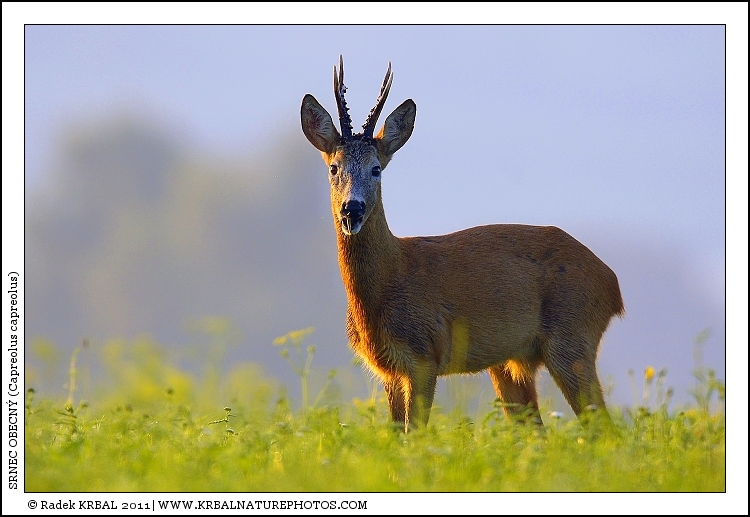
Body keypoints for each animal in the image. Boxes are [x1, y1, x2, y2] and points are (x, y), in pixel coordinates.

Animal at [300, 56, 624, 432]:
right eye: (333, 167)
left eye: (376, 168)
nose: (352, 209)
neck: (386, 284)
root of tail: (613, 285)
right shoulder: (388, 370)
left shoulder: (425, 355)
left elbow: (416, 434)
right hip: (512, 362)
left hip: (572, 337)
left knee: (603, 427)